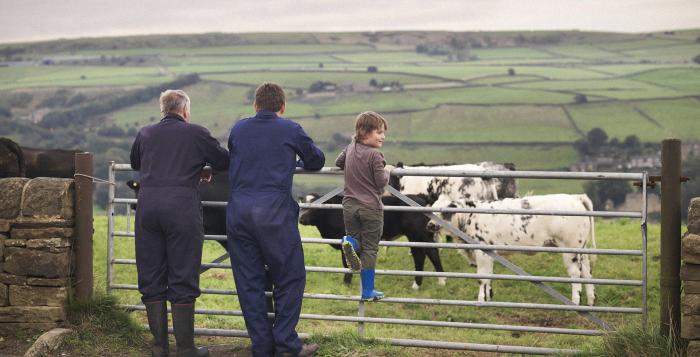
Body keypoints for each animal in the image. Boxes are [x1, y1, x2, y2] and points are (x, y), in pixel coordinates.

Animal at [300, 192, 442, 290]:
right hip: (421, 236)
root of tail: (419, 198)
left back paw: (421, 283)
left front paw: (346, 283)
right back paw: (439, 281)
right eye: (302, 205)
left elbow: (346, 263)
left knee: (424, 255)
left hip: (417, 235)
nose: (301, 219)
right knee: (428, 253)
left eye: (316, 206)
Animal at [426, 193, 596, 304]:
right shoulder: (490, 253)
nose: (430, 225)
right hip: (582, 250)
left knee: (576, 275)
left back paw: (576, 302)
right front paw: (489, 297)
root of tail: (576, 197)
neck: (470, 217)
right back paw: (591, 301)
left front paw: (481, 300)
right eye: (432, 208)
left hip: (570, 249)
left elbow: (482, 277)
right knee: (587, 273)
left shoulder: (482, 252)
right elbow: (489, 276)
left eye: (444, 210)